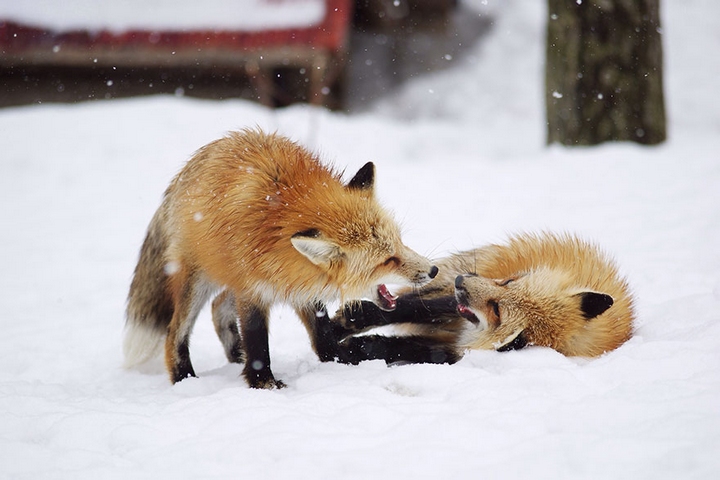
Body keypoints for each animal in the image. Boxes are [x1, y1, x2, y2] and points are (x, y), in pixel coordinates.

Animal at [126, 128, 436, 390]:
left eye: (400, 243)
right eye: (388, 260)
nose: (433, 270)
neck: (278, 222)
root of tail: (186, 170)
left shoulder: (303, 282)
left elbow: (322, 337)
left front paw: (342, 358)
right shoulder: (252, 288)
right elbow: (257, 343)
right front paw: (264, 383)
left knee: (217, 307)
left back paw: (235, 355)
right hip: (198, 280)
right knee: (174, 333)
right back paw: (185, 380)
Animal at [322, 232, 636, 364]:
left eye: (496, 310)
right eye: (509, 281)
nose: (462, 281)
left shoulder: (462, 347)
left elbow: (410, 349)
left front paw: (358, 348)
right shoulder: (458, 302)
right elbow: (408, 309)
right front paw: (353, 321)